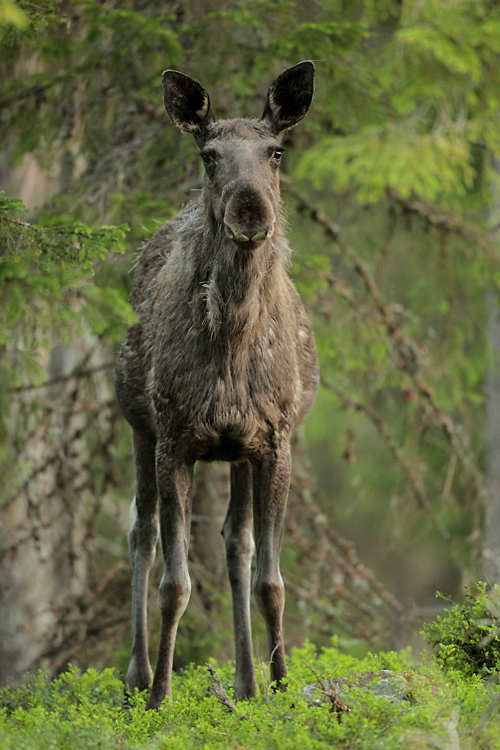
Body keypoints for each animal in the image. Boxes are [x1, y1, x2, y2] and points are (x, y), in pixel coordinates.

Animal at [115, 60, 318, 712]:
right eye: (209, 155)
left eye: (276, 151)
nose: (251, 211)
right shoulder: (174, 439)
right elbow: (174, 584)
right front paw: (161, 697)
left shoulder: (274, 440)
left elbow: (271, 580)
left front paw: (280, 689)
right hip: (138, 426)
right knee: (142, 533)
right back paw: (137, 676)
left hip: (236, 454)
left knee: (236, 545)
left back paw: (247, 682)